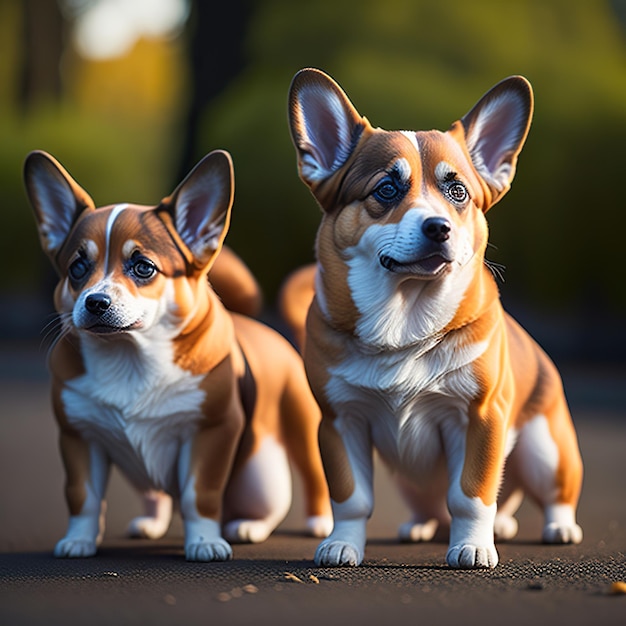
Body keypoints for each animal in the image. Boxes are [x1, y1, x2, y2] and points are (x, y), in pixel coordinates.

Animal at [24, 149, 332, 560]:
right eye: (77, 268)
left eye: (144, 268)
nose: (95, 301)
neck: (131, 358)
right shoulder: (78, 436)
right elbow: (82, 496)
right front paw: (79, 540)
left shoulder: (210, 432)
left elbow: (199, 495)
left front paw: (204, 542)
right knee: (157, 494)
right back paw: (151, 523)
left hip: (284, 446)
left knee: (301, 482)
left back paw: (269, 525)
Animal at [282, 70, 580, 568]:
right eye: (386, 189)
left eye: (457, 192)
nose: (438, 227)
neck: (403, 324)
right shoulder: (341, 421)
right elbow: (351, 498)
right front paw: (342, 545)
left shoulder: (479, 417)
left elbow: (471, 494)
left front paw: (473, 547)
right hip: (410, 481)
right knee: (433, 507)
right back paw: (422, 527)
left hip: (546, 450)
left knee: (549, 494)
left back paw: (556, 527)